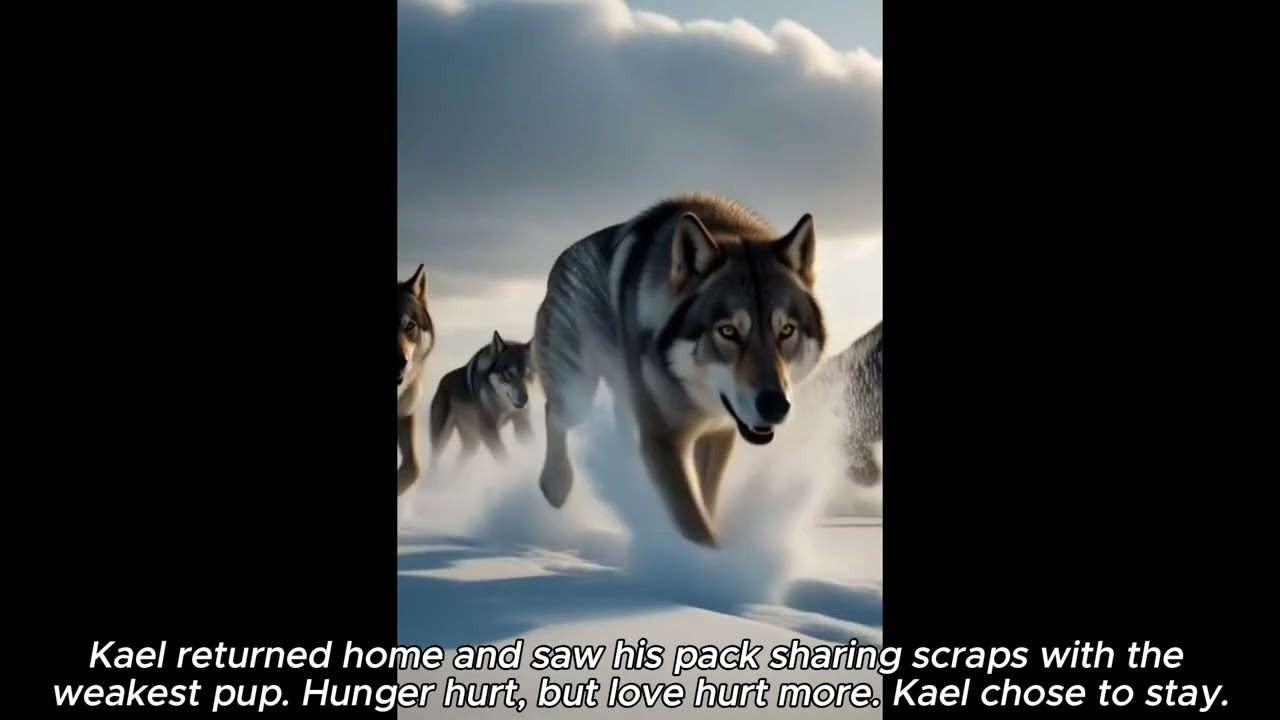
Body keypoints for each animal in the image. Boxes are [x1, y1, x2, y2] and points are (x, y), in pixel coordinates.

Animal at [429, 331, 536, 469]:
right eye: (509, 374)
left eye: (529, 374)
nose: (524, 399)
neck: (502, 404)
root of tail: (441, 383)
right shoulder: (489, 430)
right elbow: (504, 458)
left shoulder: (522, 423)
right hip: (442, 439)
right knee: (434, 460)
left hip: (472, 445)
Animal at [531, 192, 828, 548]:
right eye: (728, 331)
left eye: (786, 331)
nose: (775, 405)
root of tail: (558, 264)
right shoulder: (663, 438)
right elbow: (695, 524)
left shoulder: (718, 434)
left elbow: (707, 505)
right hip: (577, 395)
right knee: (553, 413)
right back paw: (556, 483)